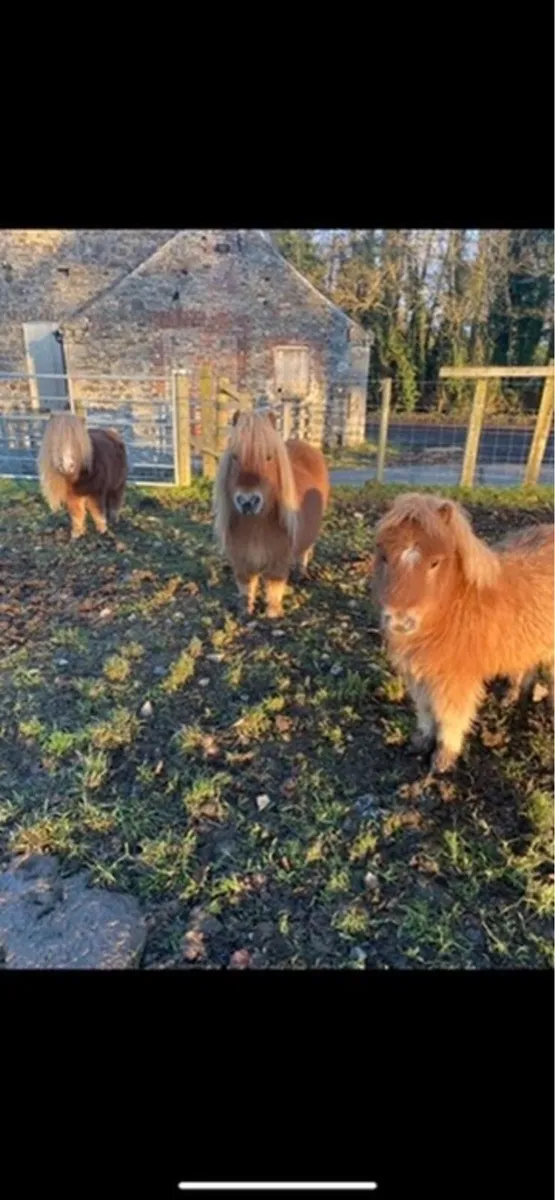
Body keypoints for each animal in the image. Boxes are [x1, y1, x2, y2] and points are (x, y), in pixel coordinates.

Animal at [213, 408, 330, 619]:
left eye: (269, 457)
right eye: (235, 456)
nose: (248, 502)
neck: (257, 524)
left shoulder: (279, 560)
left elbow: (274, 586)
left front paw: (273, 615)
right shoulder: (241, 559)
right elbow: (246, 587)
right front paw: (245, 611)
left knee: (304, 553)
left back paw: (301, 574)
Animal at [372, 492, 554, 774]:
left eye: (435, 562)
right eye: (384, 557)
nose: (400, 622)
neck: (454, 607)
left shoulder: (456, 680)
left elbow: (450, 716)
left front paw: (443, 760)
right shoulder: (420, 673)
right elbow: (425, 709)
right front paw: (420, 743)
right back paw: (513, 699)